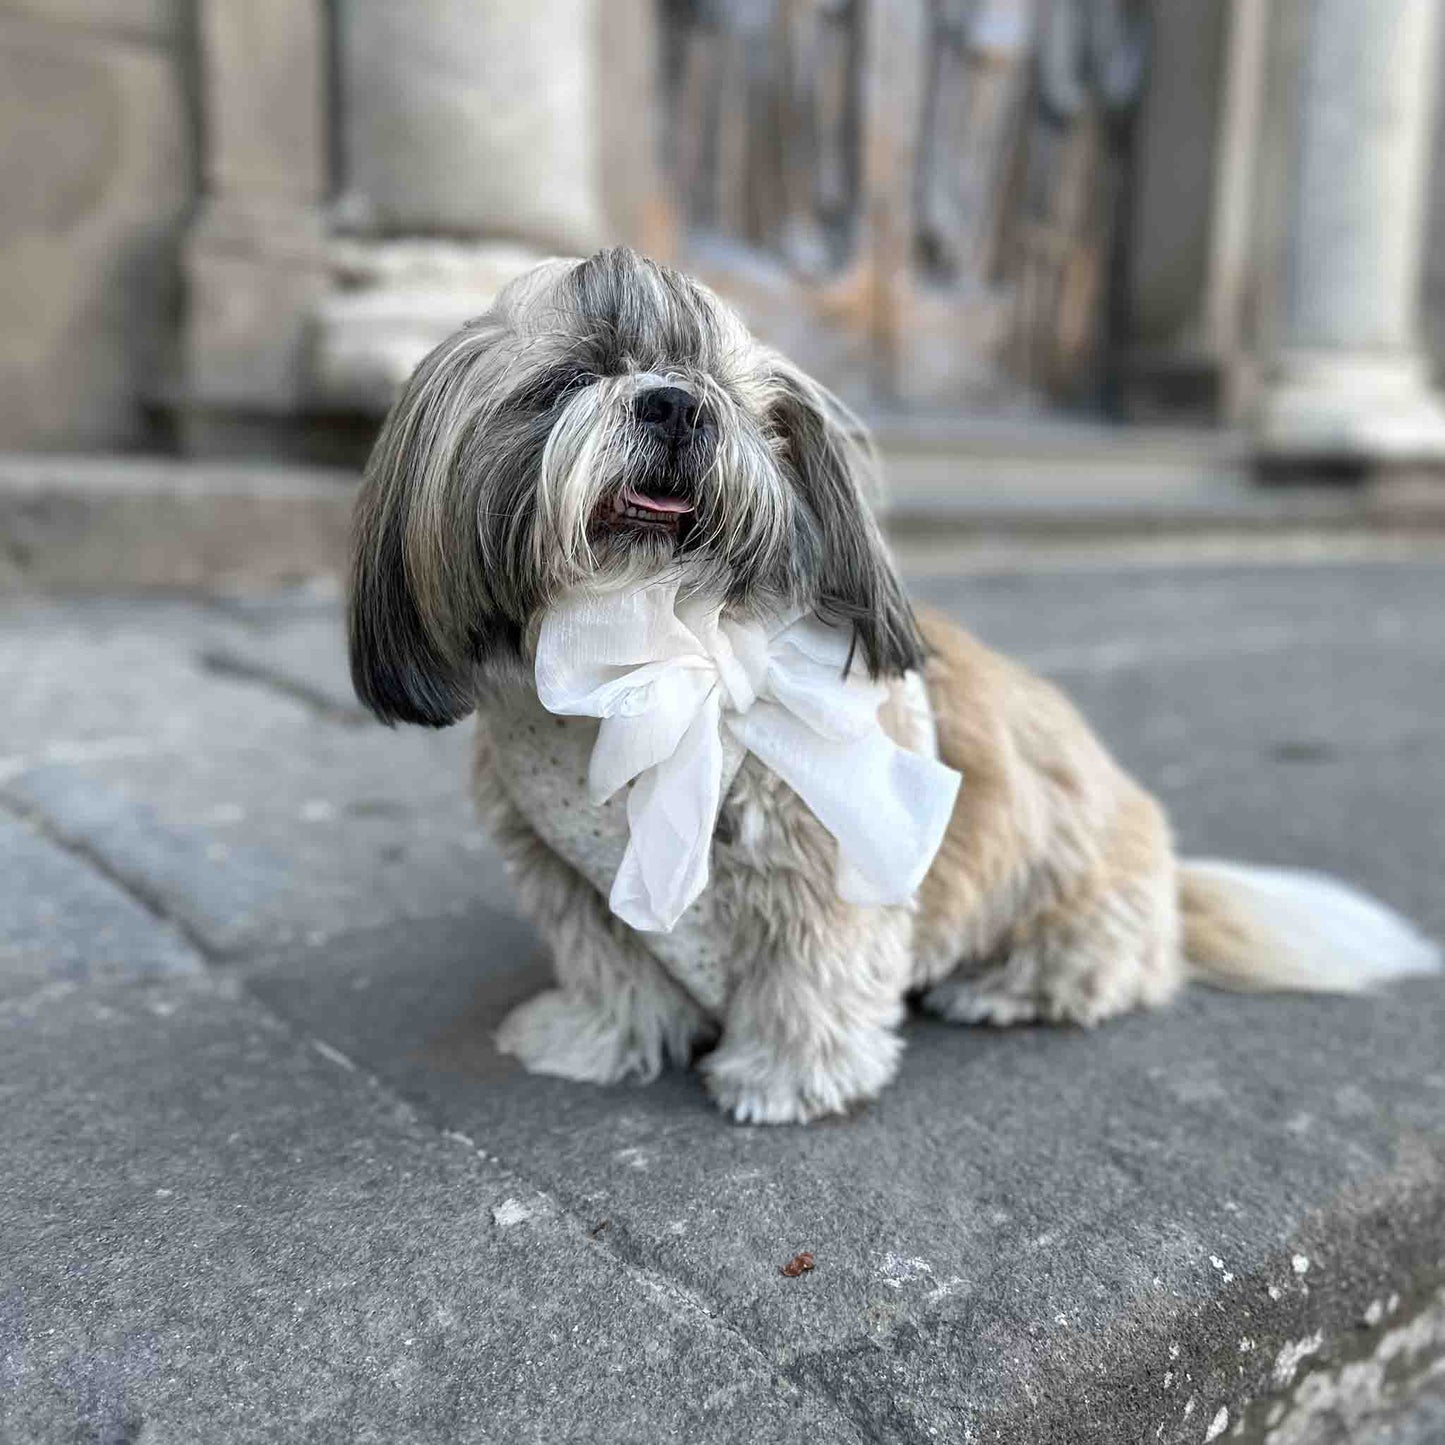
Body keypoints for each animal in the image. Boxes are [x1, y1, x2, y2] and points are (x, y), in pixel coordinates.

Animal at [343, 245, 1439, 1127]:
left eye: (738, 401)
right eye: (569, 377)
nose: (675, 401)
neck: (645, 650)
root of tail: (1172, 883)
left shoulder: (821, 854)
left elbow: (809, 974)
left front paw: (787, 1077)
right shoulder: (568, 872)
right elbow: (608, 964)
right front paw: (595, 1035)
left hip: (1064, 892)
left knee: (1092, 969)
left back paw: (996, 990)